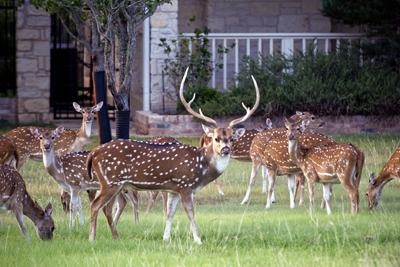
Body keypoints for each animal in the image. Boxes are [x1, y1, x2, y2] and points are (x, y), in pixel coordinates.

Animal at [86, 69, 260, 245]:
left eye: (232, 138)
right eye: (216, 138)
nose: (225, 149)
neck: (201, 167)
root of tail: (93, 153)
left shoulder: (174, 189)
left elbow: (170, 212)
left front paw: (166, 238)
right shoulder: (185, 184)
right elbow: (190, 213)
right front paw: (198, 240)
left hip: (115, 184)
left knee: (106, 207)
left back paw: (115, 237)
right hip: (111, 181)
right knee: (95, 205)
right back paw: (92, 238)